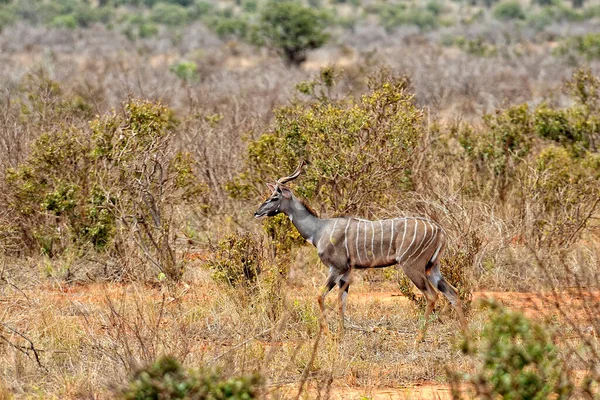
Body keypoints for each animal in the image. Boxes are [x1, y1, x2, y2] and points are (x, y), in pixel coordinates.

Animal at [253, 162, 468, 340]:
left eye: (274, 197)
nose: (257, 212)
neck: (318, 229)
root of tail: (439, 230)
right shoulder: (347, 272)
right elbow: (342, 301)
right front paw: (340, 336)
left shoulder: (336, 268)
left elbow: (320, 296)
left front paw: (329, 335)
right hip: (432, 268)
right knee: (453, 292)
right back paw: (464, 336)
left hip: (412, 267)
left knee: (432, 295)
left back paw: (418, 339)